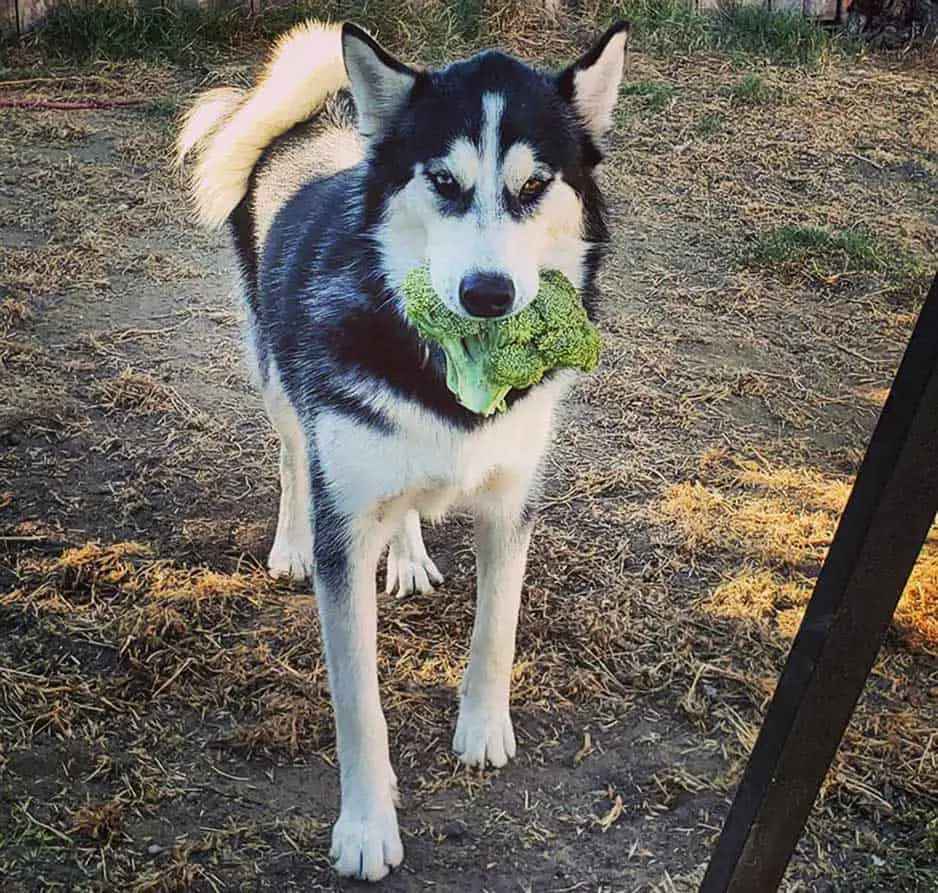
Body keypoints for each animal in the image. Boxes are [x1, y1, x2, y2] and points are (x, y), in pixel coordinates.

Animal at [178, 19, 624, 880]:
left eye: (533, 186)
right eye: (443, 182)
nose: (488, 294)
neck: (442, 363)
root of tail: (304, 127)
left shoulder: (511, 501)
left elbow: (497, 629)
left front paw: (483, 729)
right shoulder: (345, 528)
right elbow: (360, 705)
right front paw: (365, 826)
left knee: (410, 500)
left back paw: (411, 556)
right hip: (281, 384)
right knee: (292, 457)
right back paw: (290, 542)